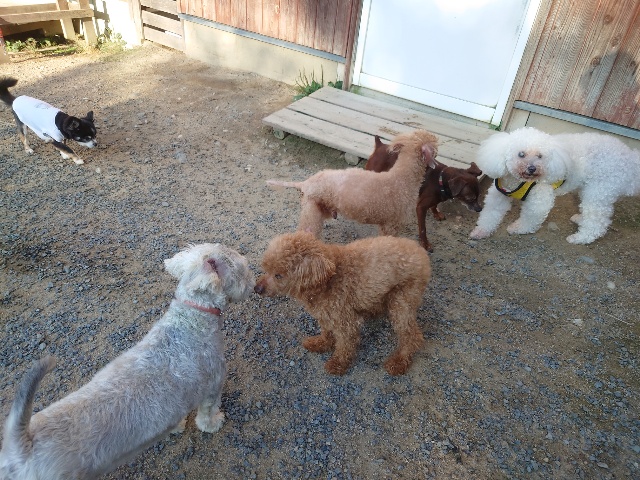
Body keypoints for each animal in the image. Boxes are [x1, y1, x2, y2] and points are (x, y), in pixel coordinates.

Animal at [0, 243, 255, 480]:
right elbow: (206, 417)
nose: (254, 285)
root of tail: (23, 448)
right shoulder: (213, 386)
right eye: (243, 267)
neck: (191, 320)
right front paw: (215, 423)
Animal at [254, 232, 431, 376]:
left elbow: (345, 345)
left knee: (411, 336)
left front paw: (337, 364)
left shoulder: (345, 321)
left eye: (278, 275)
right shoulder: (326, 314)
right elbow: (326, 332)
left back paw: (399, 362)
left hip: (402, 299)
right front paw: (320, 343)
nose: (256, 289)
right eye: (266, 268)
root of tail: (421, 253)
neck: (326, 280)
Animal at [469, 127, 640, 244]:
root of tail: (630, 157)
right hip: (589, 189)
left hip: (599, 191)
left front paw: (518, 228)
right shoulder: (499, 195)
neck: (517, 180)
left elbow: (530, 217)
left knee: (598, 221)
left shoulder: (539, 200)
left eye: (540, 156)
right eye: (521, 154)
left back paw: (581, 237)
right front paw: (481, 231)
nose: (532, 168)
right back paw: (580, 219)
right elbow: (490, 214)